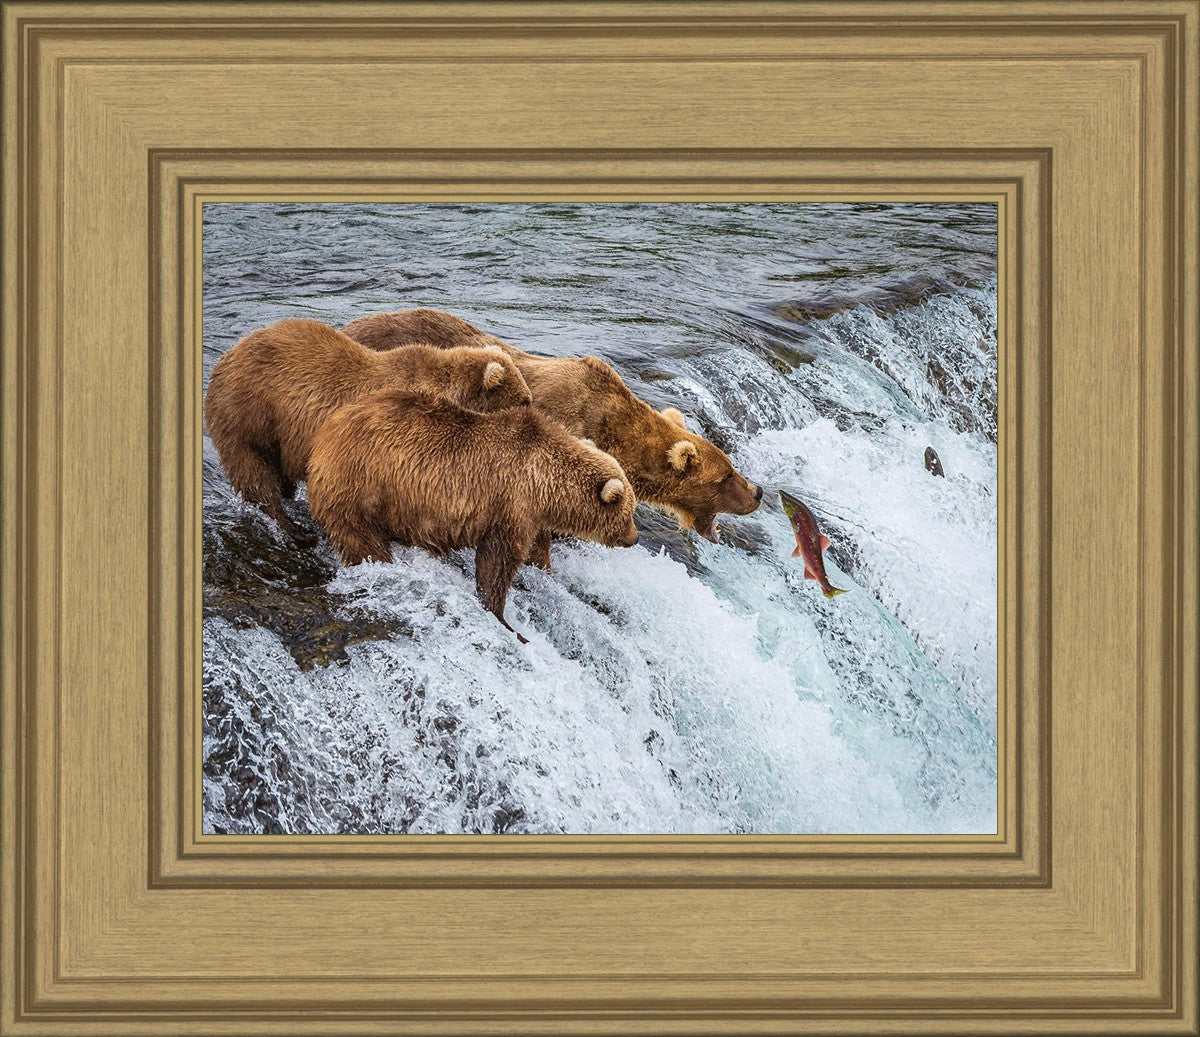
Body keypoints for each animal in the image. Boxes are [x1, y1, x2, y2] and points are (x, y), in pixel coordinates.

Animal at [204, 317, 531, 543]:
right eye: (524, 400)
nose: (533, 412)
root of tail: (226, 357)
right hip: (249, 413)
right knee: (254, 471)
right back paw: (293, 528)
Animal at [305, 388, 640, 641]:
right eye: (629, 512)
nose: (634, 538)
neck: (545, 483)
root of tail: (324, 434)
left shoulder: (532, 516)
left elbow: (535, 550)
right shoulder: (510, 503)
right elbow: (498, 561)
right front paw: (503, 617)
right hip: (361, 485)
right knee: (361, 538)